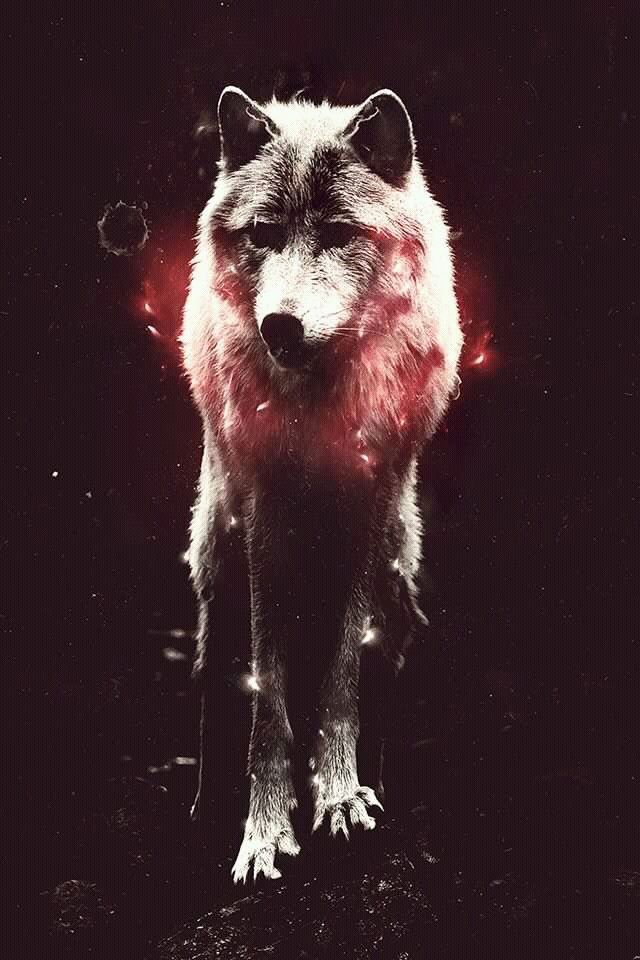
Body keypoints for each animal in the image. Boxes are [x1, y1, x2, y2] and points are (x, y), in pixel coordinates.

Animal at [181, 84, 463, 883]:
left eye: (338, 234)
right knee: (215, 675)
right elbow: (266, 698)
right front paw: (263, 830)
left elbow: (341, 676)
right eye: (264, 233)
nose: (280, 326)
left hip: (401, 564)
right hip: (215, 563)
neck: (318, 410)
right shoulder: (261, 522)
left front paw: (339, 797)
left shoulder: (369, 512)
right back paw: (204, 809)